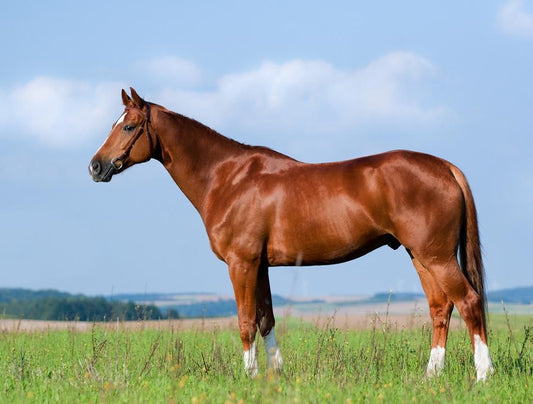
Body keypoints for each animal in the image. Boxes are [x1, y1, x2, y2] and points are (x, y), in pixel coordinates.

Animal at [89, 88, 492, 382]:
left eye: (128, 127)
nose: (95, 166)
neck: (227, 177)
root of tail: (445, 166)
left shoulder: (241, 263)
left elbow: (245, 322)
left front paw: (249, 377)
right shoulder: (261, 266)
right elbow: (266, 319)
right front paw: (275, 375)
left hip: (437, 256)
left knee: (469, 302)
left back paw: (483, 375)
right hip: (420, 256)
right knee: (441, 308)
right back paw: (431, 375)